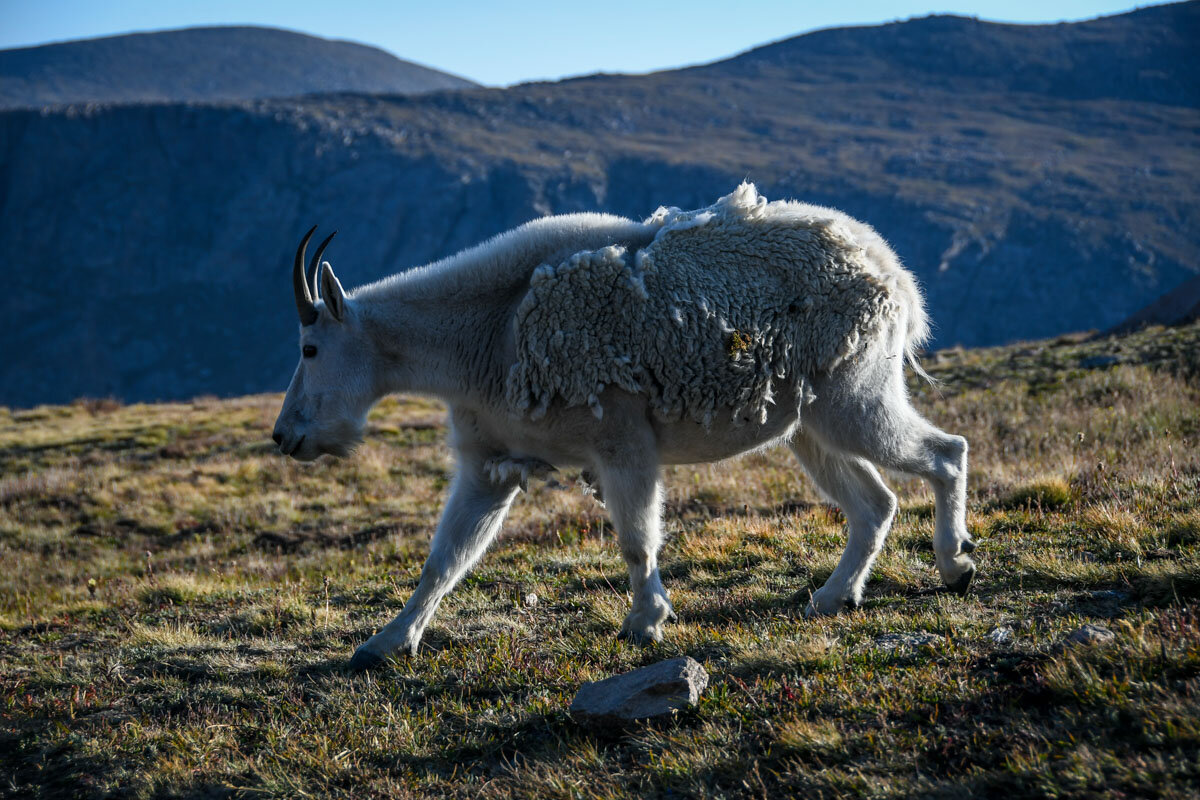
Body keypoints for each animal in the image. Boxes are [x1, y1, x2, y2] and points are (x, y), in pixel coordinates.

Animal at [272, 183, 974, 671]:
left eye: (309, 347)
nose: (285, 436)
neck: (490, 328)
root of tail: (896, 275)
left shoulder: (621, 440)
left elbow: (637, 539)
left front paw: (644, 623)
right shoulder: (489, 461)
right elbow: (444, 558)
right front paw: (386, 643)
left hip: (853, 395)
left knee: (946, 451)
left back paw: (954, 563)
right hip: (807, 422)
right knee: (874, 501)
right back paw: (835, 596)